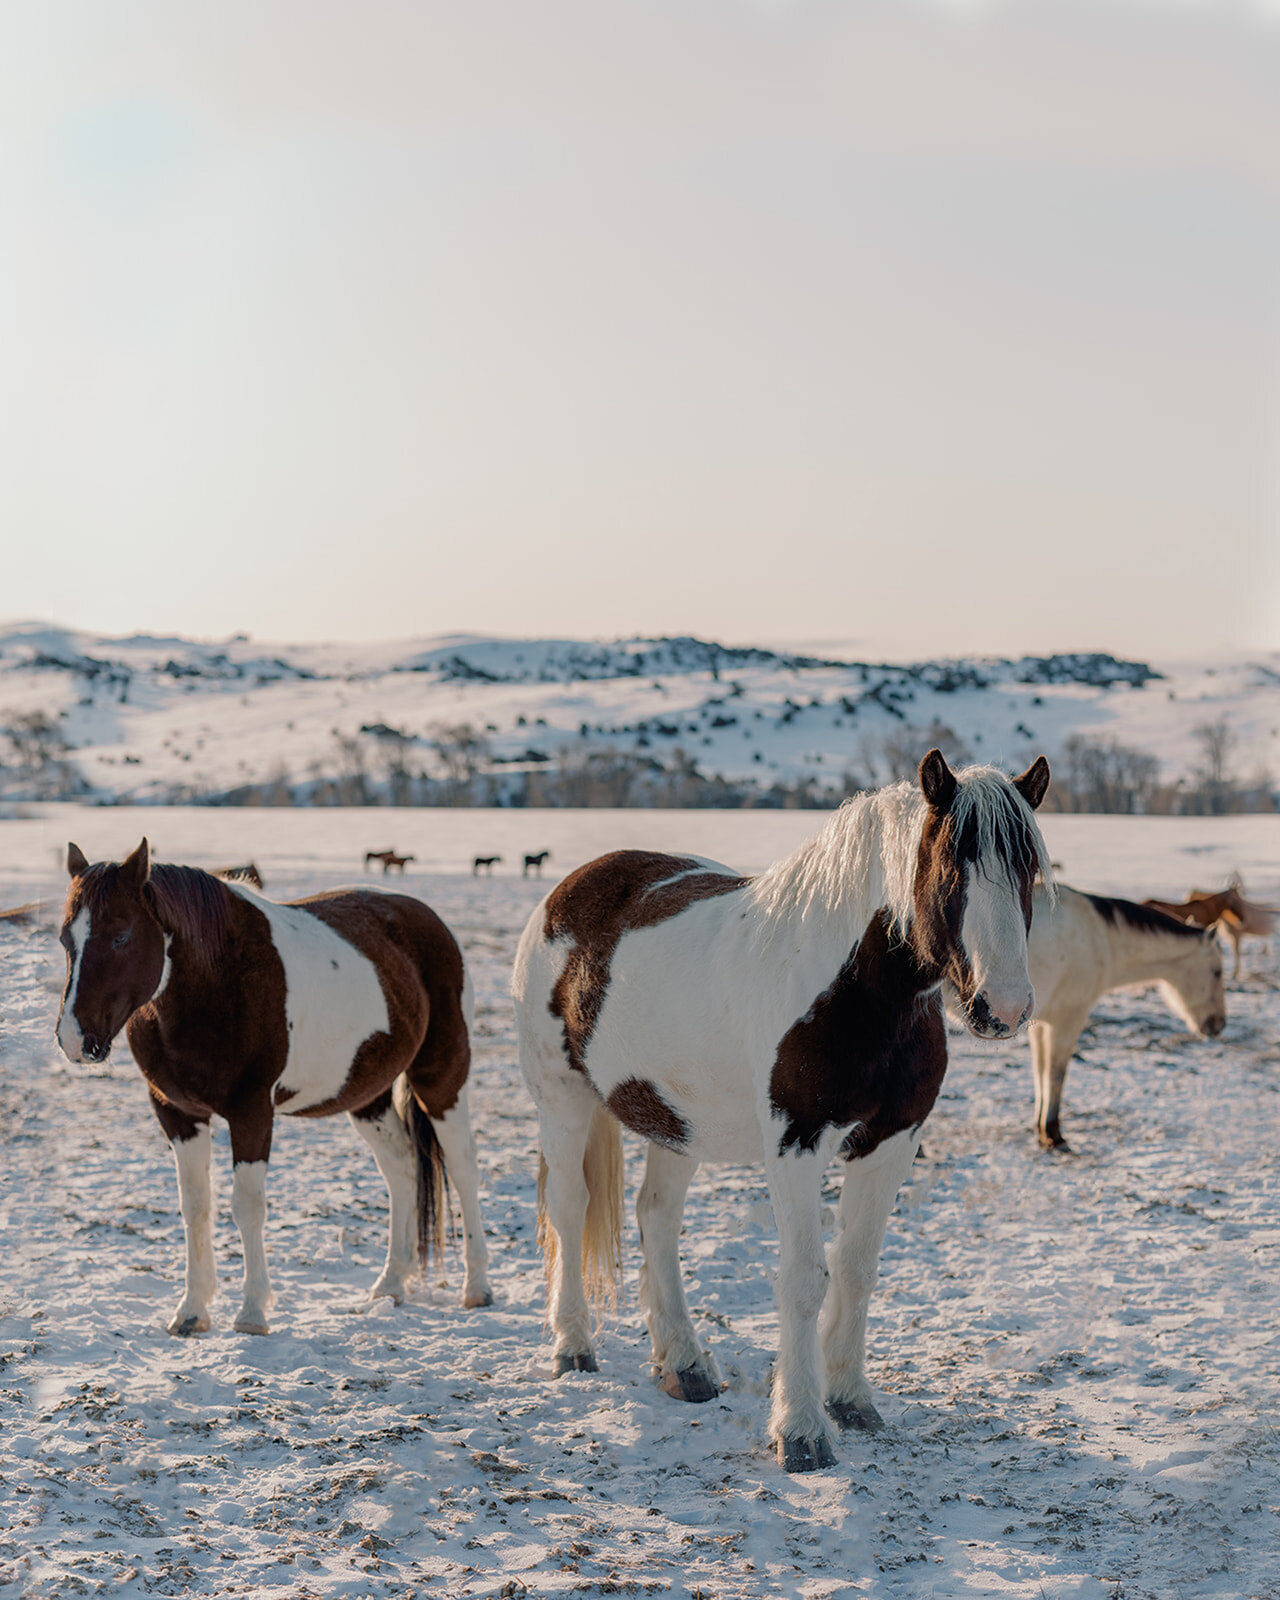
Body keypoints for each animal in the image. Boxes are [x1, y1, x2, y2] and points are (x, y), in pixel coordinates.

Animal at [53, 844, 489, 1331]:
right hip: (368, 1096)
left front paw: (252, 1311)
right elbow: (195, 1207)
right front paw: (192, 1310)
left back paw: (476, 1287)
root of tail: (430, 921)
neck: (217, 980)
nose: (74, 1040)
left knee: (462, 1165)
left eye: (121, 936)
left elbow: (247, 1206)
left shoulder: (252, 1113)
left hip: (441, 1076)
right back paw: (392, 1282)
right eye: (66, 940)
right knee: (402, 1167)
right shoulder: (177, 1113)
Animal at [508, 748, 1049, 1472]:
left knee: (658, 1219)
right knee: (569, 1210)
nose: (1005, 1006)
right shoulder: (797, 1142)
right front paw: (803, 1430)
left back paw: (684, 1365)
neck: (857, 989)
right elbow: (802, 1280)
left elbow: (857, 1268)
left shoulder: (893, 1141)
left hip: (673, 1120)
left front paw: (849, 1399)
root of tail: (566, 892)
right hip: (562, 1102)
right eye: (951, 867)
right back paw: (572, 1347)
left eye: (1029, 868)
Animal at [1024, 889, 1222, 1152]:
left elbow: (1039, 1071)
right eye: (1217, 972)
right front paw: (1052, 1132)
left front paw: (1040, 1128)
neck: (1098, 938)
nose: (1219, 1023)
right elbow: (1056, 1074)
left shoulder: (1041, 1024)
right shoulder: (1067, 1020)